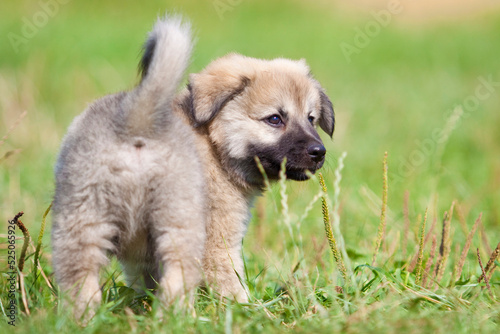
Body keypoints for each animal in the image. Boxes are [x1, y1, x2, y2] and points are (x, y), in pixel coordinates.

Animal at [52, 15, 334, 318]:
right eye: (274, 119)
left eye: (311, 118)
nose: (319, 152)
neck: (214, 146)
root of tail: (137, 119)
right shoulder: (219, 237)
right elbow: (228, 280)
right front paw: (249, 310)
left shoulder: (139, 252)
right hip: (182, 224)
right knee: (177, 278)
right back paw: (180, 319)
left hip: (80, 219)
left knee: (78, 280)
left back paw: (81, 320)